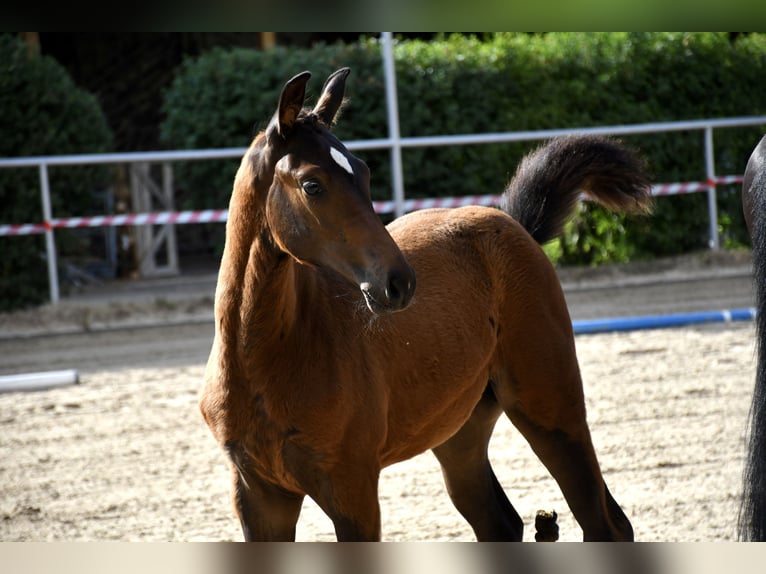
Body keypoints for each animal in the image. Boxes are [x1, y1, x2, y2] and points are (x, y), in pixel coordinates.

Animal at [200, 70, 656, 544]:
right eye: (312, 184)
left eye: (364, 172)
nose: (399, 282)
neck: (268, 360)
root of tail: (512, 222)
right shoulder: (259, 496)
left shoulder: (352, 488)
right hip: (460, 433)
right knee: (500, 522)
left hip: (551, 408)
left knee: (604, 523)